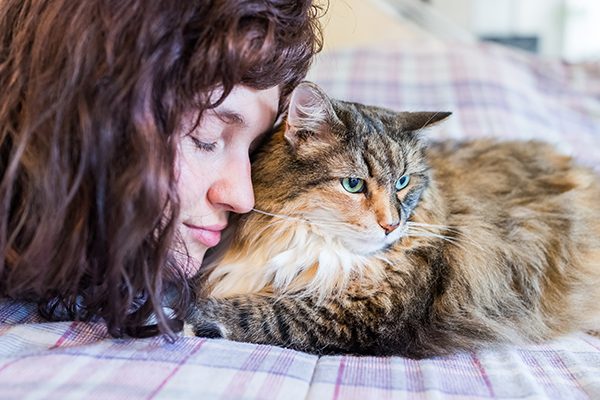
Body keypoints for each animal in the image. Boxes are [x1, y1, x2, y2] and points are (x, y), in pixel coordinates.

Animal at [186, 82, 600, 360]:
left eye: (402, 182)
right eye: (353, 185)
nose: (392, 225)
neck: (306, 238)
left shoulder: (364, 314)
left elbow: (269, 312)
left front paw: (193, 315)